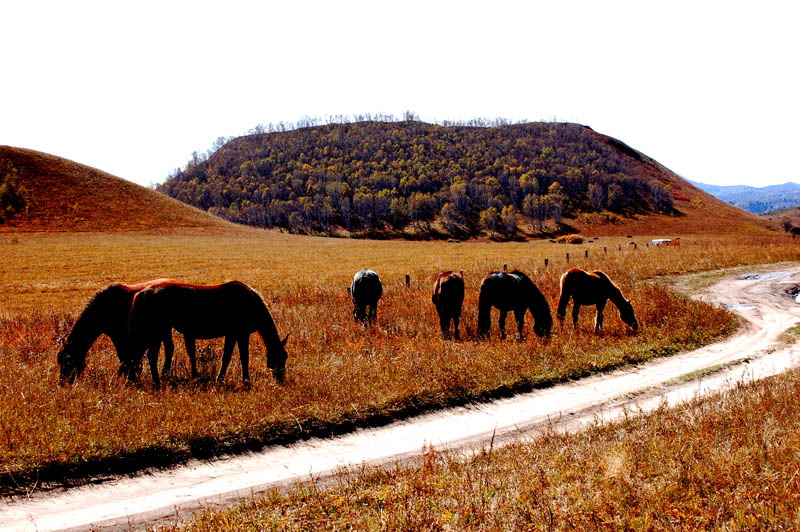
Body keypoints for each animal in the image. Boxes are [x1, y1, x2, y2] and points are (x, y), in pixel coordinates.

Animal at [57, 278, 186, 386]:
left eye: (68, 361)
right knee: (169, 348)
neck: (104, 308)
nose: (62, 383)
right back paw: (165, 374)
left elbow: (126, 355)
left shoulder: (120, 335)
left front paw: (130, 375)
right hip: (165, 330)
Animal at [125, 280, 288, 388]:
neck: (251, 302)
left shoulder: (232, 335)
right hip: (156, 331)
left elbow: (227, 357)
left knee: (141, 354)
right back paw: (155, 381)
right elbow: (242, 357)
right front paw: (245, 381)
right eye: (281, 357)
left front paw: (221, 378)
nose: (281, 379)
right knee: (149, 355)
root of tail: (143, 292)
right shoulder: (240, 334)